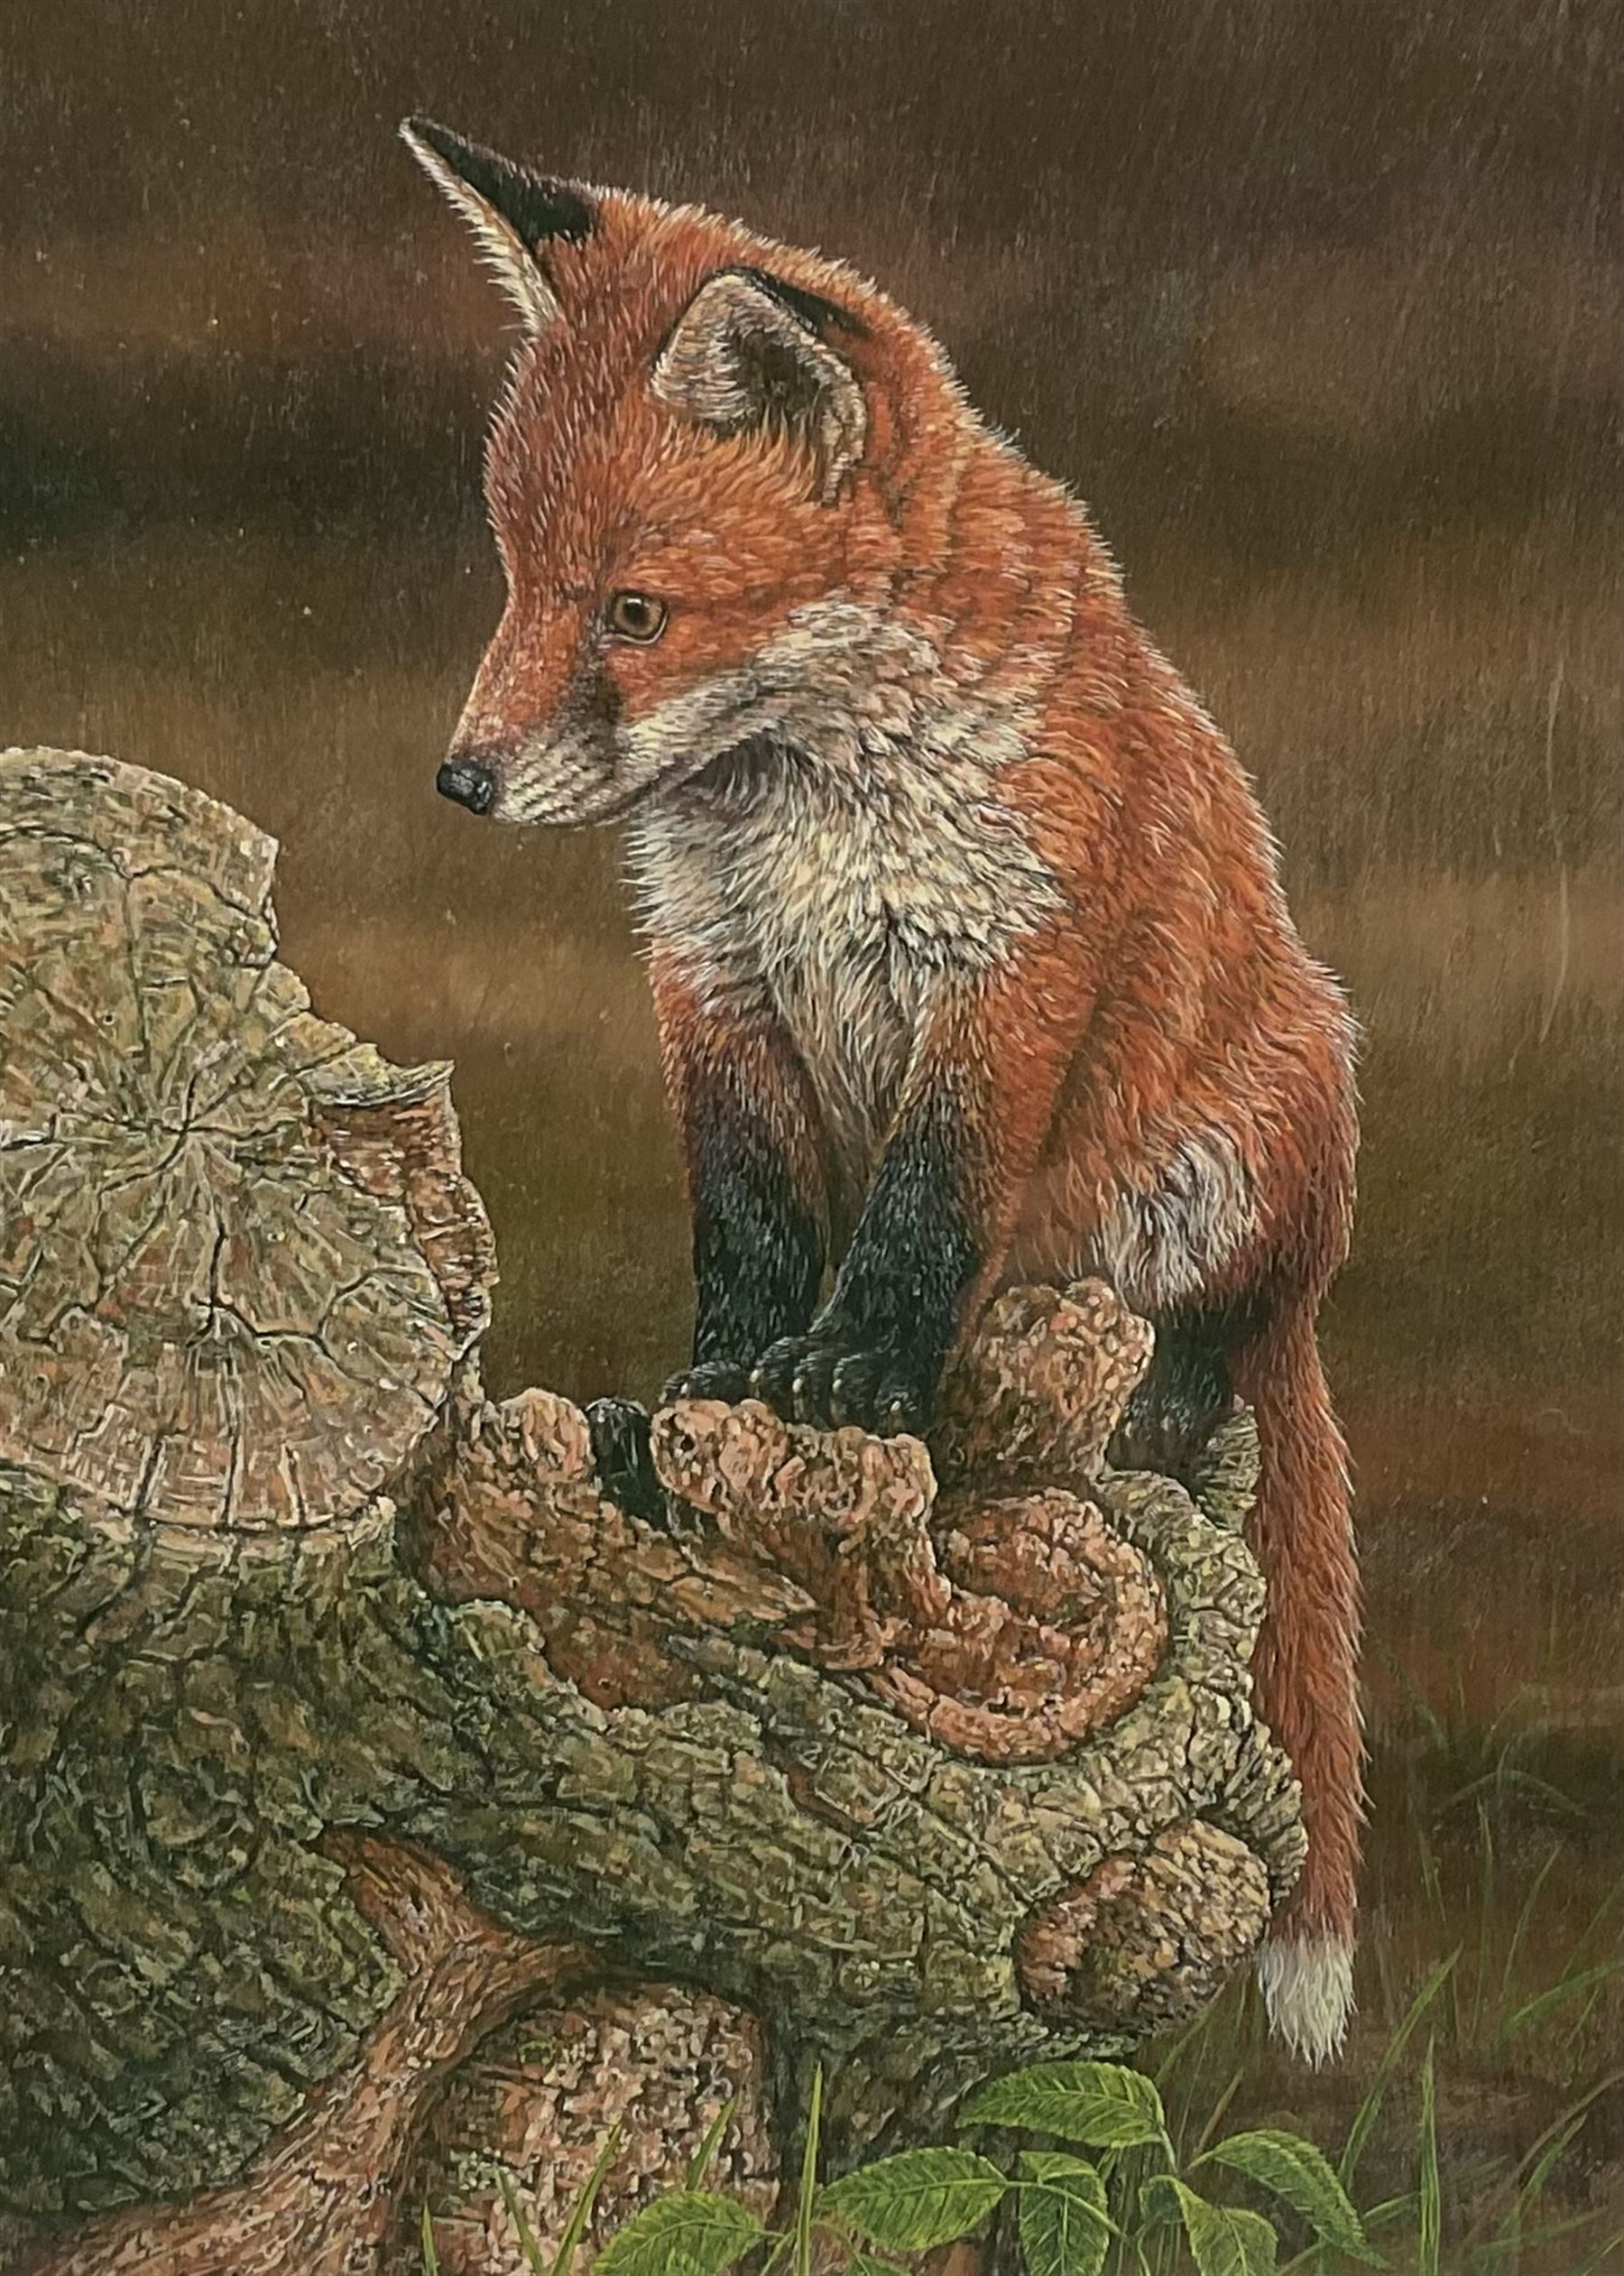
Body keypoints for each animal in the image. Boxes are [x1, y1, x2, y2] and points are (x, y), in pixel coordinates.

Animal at [403, 118, 1362, 2064]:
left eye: (635, 611)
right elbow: (752, 1228)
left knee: (1214, 1342)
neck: (805, 815)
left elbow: (926, 1213)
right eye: (519, 581)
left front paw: (855, 1377)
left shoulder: (1003, 971)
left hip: (1242, 1145)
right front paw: (702, 1392)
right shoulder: (713, 983)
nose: (462, 780)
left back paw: (1151, 1391)